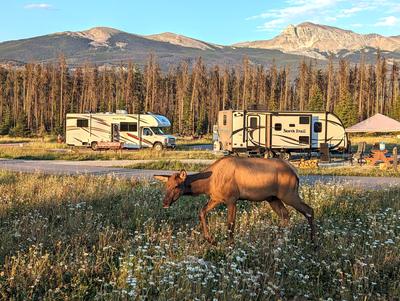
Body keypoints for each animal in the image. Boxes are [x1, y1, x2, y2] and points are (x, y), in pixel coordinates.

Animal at [155, 156, 314, 243]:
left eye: (177, 186)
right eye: (166, 186)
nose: (165, 203)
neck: (208, 184)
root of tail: (295, 172)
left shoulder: (232, 198)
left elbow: (230, 223)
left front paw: (229, 244)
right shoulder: (216, 198)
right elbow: (202, 212)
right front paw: (211, 240)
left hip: (289, 194)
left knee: (309, 210)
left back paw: (313, 242)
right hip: (273, 198)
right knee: (286, 215)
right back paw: (279, 240)